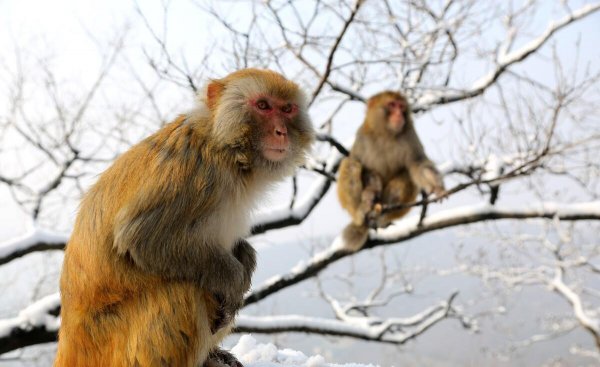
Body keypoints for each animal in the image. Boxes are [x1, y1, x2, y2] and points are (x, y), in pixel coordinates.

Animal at [54, 69, 316, 367]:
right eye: (263, 105)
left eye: (287, 109)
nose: (281, 132)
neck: (225, 147)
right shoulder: (198, 173)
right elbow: (142, 237)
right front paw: (236, 280)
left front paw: (246, 257)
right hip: (110, 345)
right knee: (182, 290)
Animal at [338, 91, 446, 252]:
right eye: (392, 105)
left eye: (401, 106)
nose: (399, 114)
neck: (386, 134)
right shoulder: (362, 137)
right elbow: (367, 169)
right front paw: (369, 194)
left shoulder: (410, 136)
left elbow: (418, 163)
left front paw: (438, 187)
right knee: (350, 164)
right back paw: (361, 212)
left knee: (406, 173)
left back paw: (384, 212)